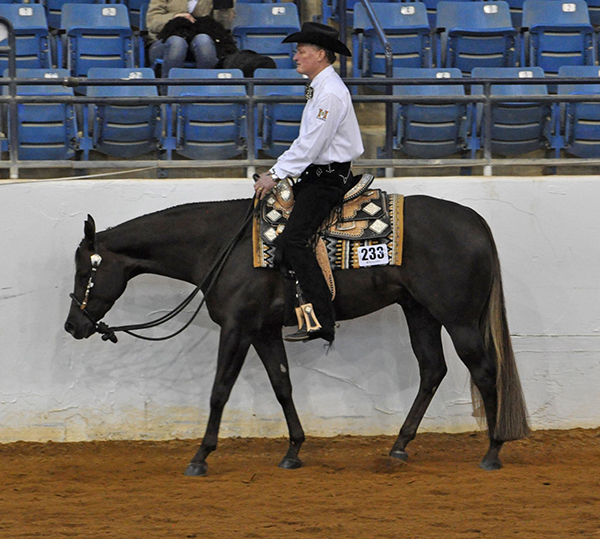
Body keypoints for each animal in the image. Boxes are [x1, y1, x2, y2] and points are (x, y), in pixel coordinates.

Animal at [63, 194, 528, 476]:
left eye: (85, 271)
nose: (73, 326)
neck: (220, 246)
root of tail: (476, 222)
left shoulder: (237, 327)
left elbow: (219, 390)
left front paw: (200, 456)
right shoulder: (264, 330)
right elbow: (281, 384)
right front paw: (293, 450)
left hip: (459, 318)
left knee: (485, 372)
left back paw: (492, 451)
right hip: (419, 312)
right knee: (432, 370)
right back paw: (399, 446)